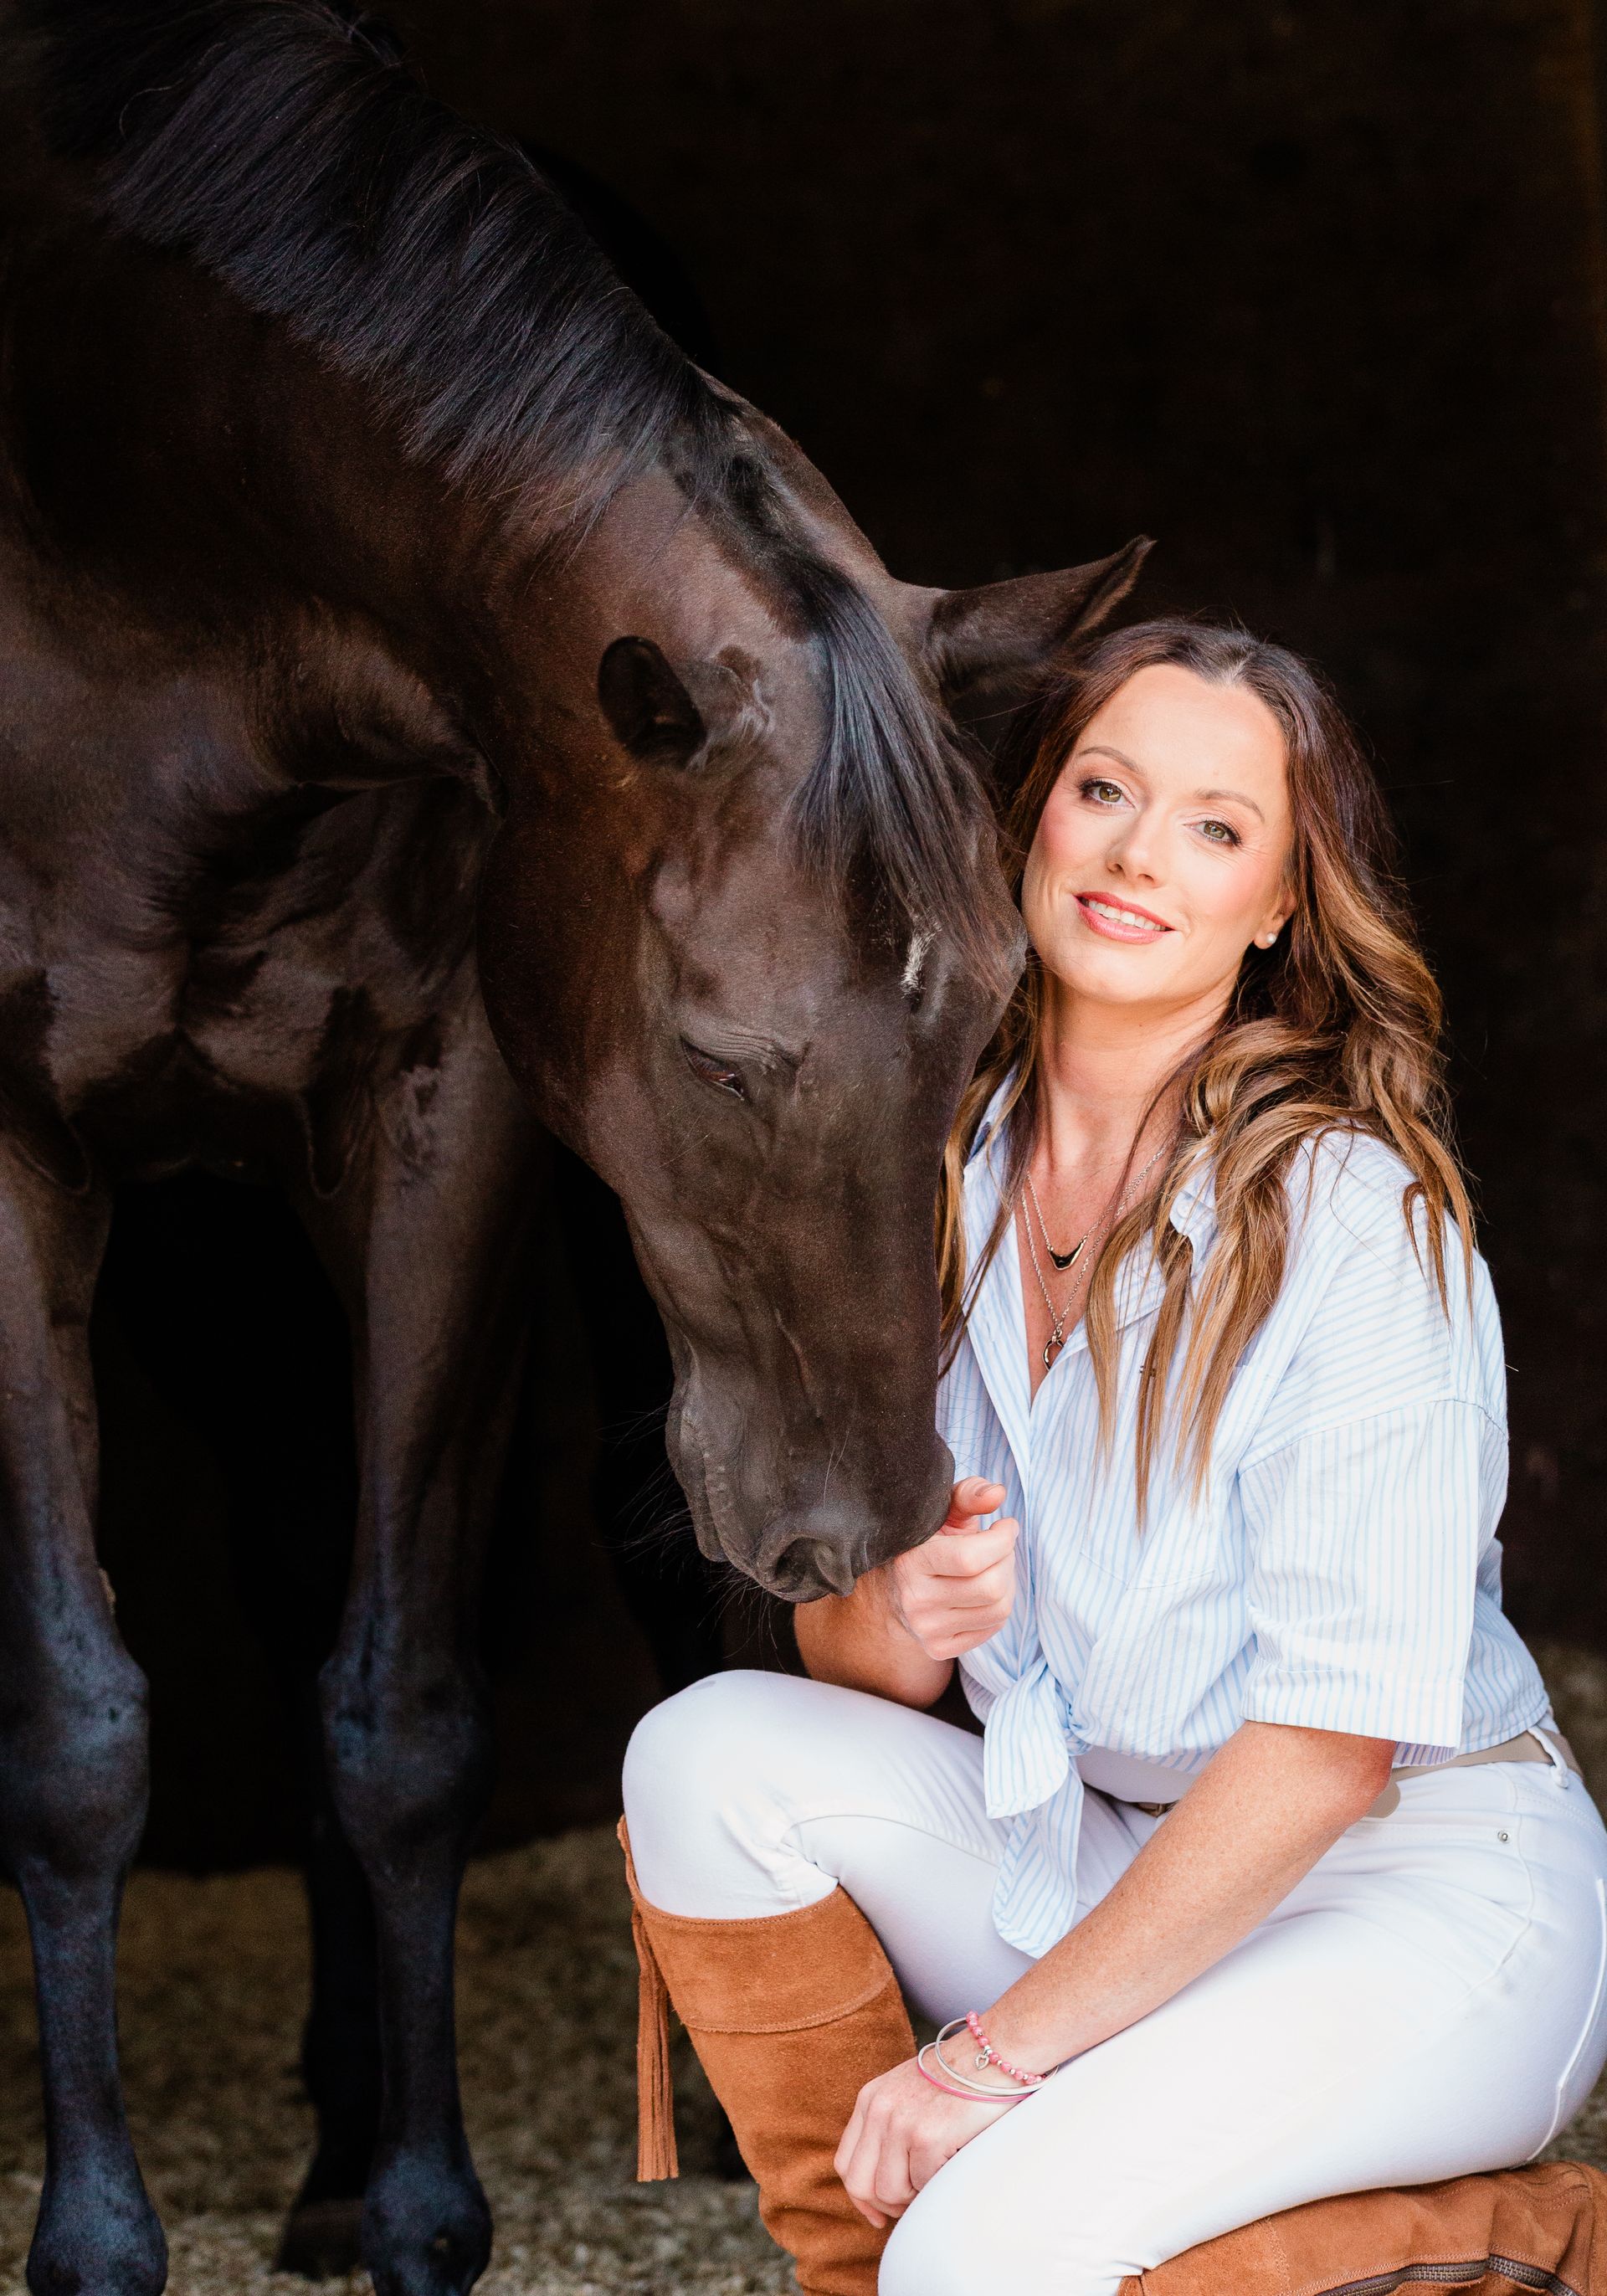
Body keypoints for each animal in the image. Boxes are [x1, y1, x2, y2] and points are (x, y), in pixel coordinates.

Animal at [0, 4, 1146, 2290]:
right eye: (717, 1054)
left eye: (997, 1017)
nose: (870, 1524)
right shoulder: (5, 1150)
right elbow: (79, 1730)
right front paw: (94, 2238)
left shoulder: (446, 1113)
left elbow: (407, 1713)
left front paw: (428, 2210)